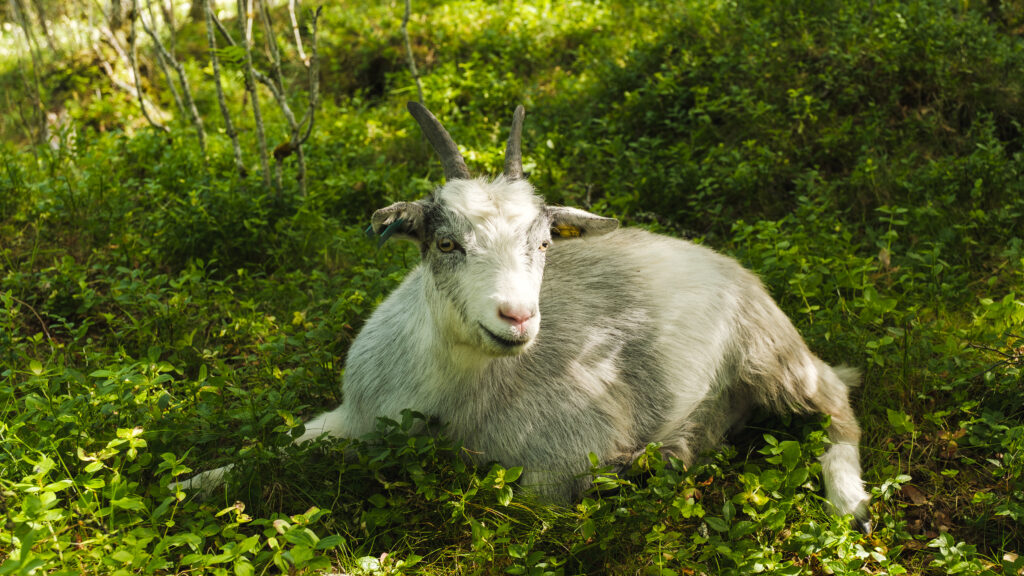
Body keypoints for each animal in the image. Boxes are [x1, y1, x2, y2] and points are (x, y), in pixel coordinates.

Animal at [184, 101, 872, 528]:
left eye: (542, 244)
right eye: (445, 243)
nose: (516, 317)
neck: (439, 402)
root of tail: (732, 268)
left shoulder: (561, 460)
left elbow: (526, 504)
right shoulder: (351, 418)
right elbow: (274, 448)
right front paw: (191, 483)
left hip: (771, 358)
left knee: (837, 408)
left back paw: (848, 503)